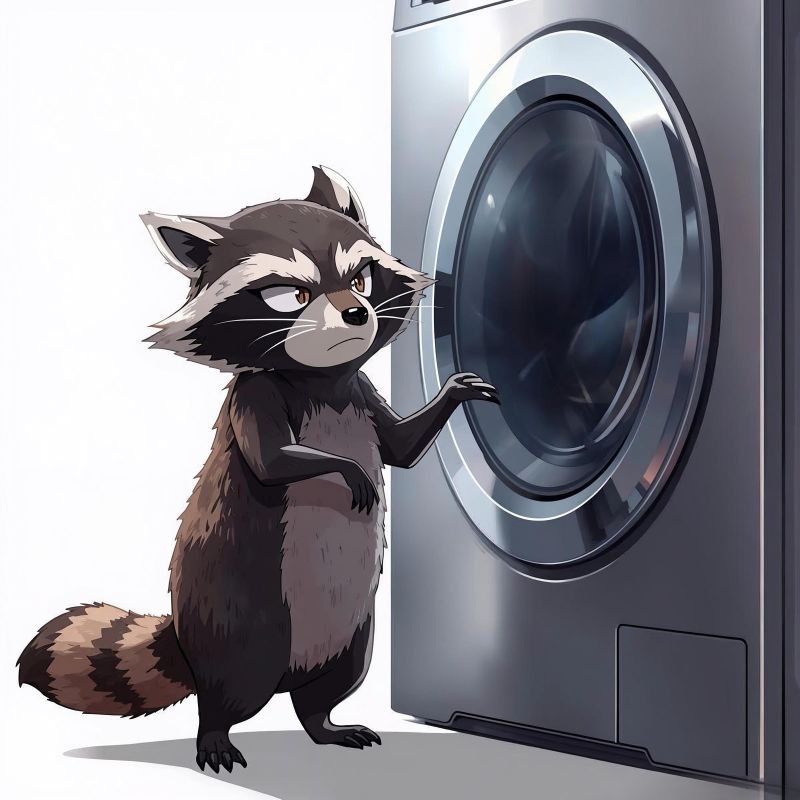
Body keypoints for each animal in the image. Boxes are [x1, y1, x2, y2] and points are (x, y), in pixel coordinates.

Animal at [17, 167, 499, 773]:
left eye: (361, 280)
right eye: (292, 295)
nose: (356, 313)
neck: (321, 379)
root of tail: (185, 640)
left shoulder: (361, 391)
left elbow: (403, 449)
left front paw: (452, 394)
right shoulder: (255, 394)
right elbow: (272, 462)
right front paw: (346, 469)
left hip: (355, 631)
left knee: (332, 683)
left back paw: (324, 722)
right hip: (241, 613)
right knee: (232, 686)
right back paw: (215, 733)